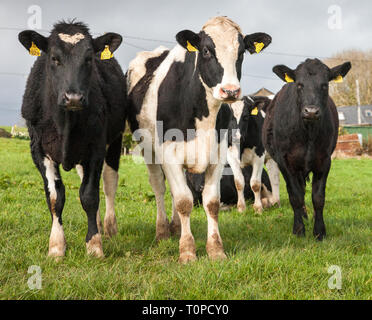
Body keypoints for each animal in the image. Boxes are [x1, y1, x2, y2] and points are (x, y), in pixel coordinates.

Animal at [18, 20, 126, 258]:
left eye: (89, 59)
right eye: (54, 58)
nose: (74, 97)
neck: (64, 123)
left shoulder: (96, 149)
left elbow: (90, 195)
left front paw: (94, 245)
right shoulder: (39, 151)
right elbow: (55, 197)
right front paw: (57, 246)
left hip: (115, 141)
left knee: (109, 184)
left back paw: (109, 227)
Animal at [126, 16, 272, 262]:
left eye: (242, 51)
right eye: (205, 50)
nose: (230, 91)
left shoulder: (219, 154)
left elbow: (211, 202)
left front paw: (215, 249)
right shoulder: (169, 153)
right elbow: (184, 201)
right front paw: (187, 251)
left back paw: (176, 226)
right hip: (149, 150)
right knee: (160, 187)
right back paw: (163, 231)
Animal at [262, 58, 352, 240]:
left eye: (324, 85)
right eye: (299, 85)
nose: (311, 111)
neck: (308, 134)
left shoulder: (324, 160)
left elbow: (318, 197)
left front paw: (319, 231)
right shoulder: (285, 162)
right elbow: (295, 196)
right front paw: (298, 230)